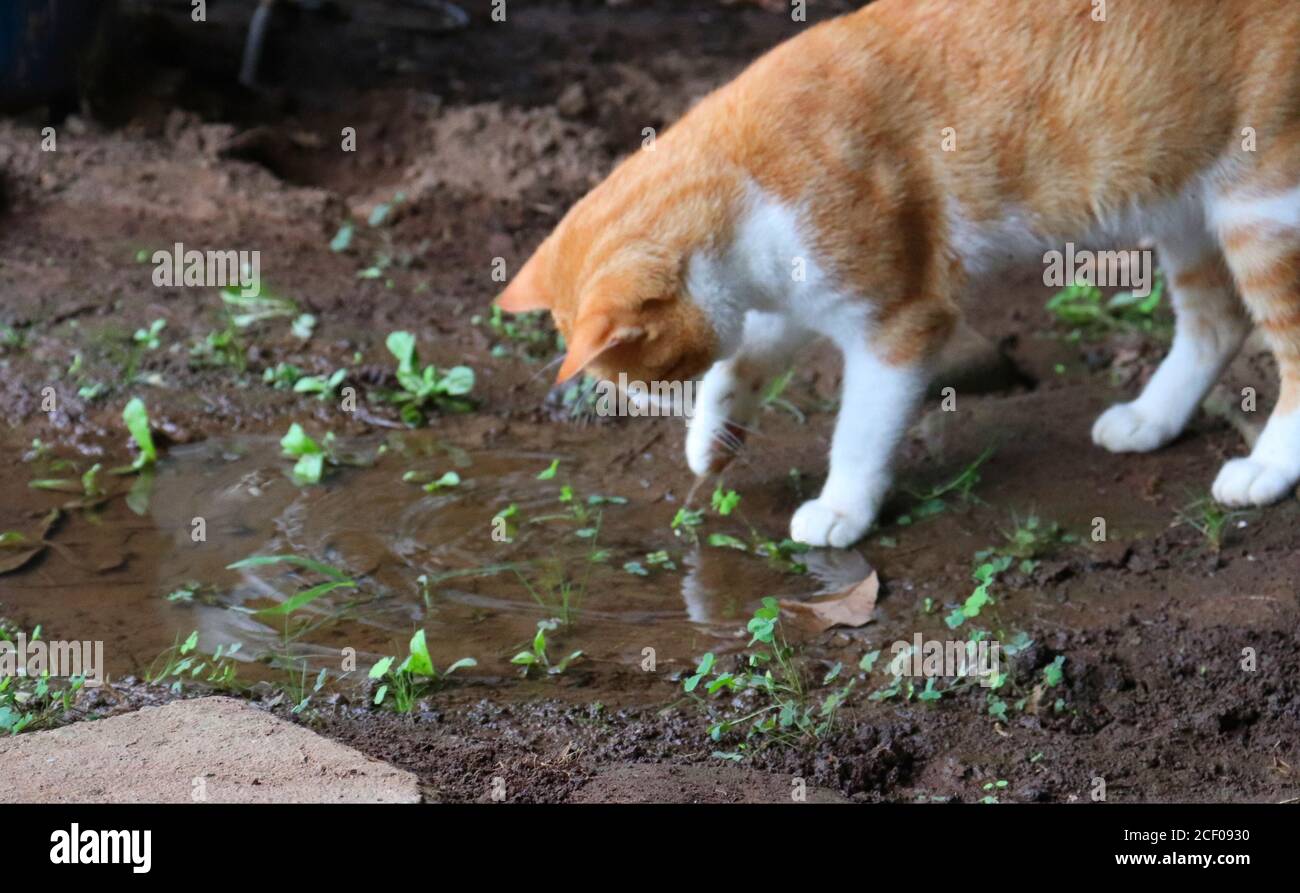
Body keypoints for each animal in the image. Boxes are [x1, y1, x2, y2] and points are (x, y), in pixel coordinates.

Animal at [493, 0, 1300, 548]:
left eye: (635, 373)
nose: (640, 402)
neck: (744, 179)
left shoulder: (899, 318)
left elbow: (859, 428)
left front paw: (841, 507)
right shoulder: (789, 296)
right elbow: (745, 360)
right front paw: (712, 437)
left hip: (1258, 209)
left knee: (1286, 344)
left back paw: (1266, 467)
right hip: (1183, 208)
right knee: (1217, 321)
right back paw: (1151, 418)